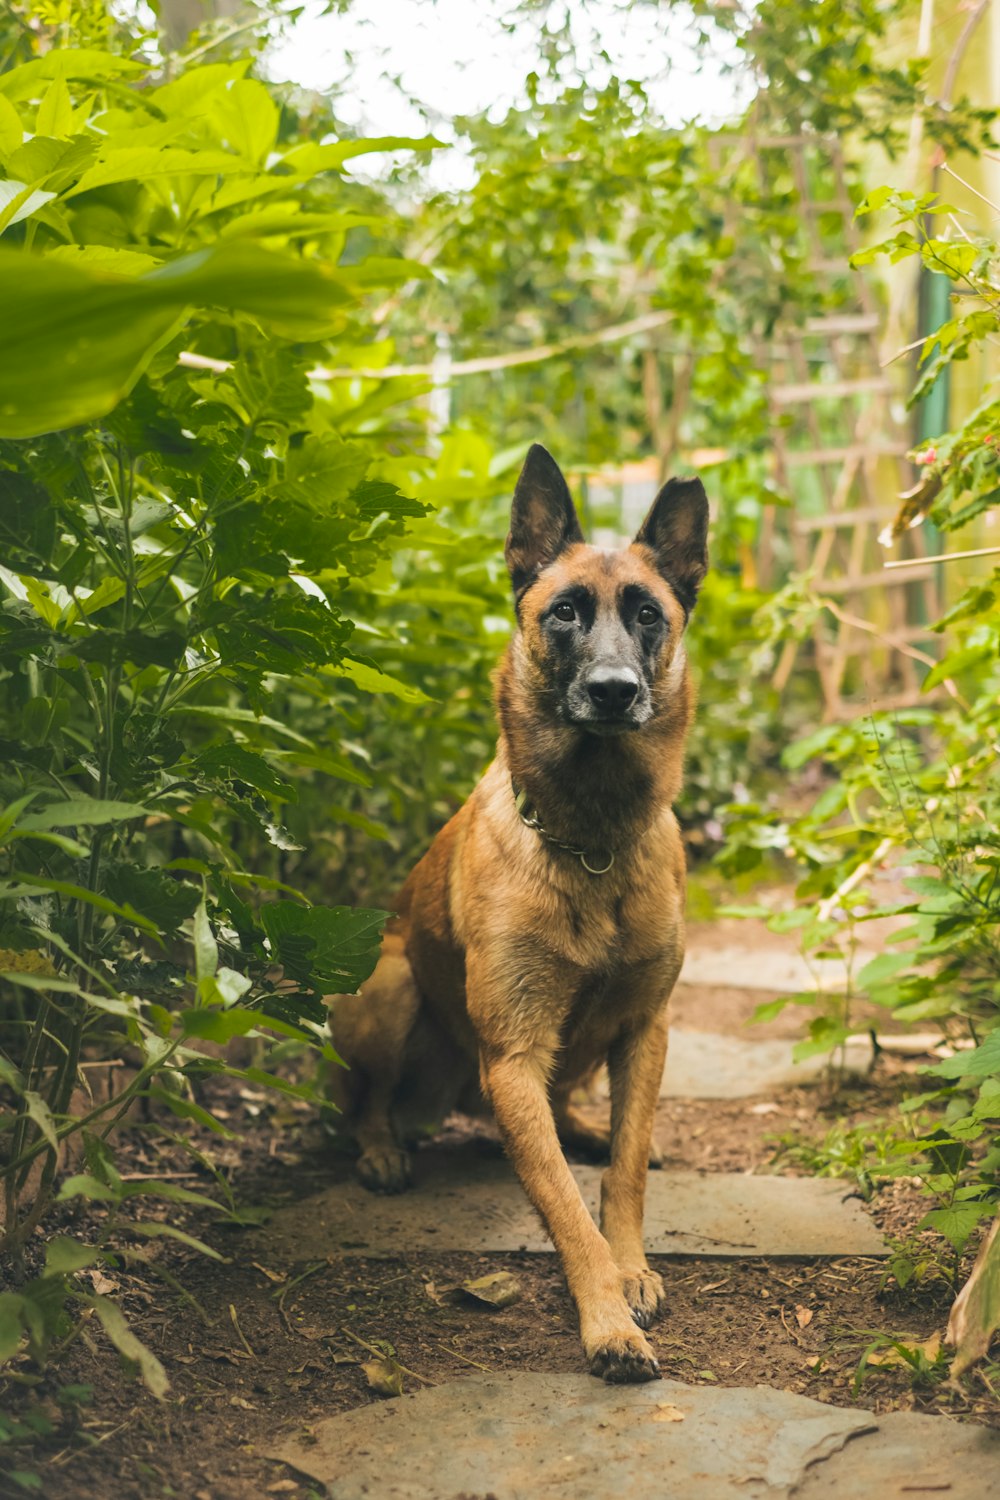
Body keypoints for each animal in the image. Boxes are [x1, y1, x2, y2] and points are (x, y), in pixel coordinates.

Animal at [332, 441, 707, 1380]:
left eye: (648, 615)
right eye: (565, 612)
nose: (613, 691)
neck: (594, 839)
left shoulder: (646, 1029)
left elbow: (621, 1179)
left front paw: (632, 1263)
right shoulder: (513, 1055)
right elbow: (567, 1211)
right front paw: (607, 1317)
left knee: (581, 1117)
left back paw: (587, 1129)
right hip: (388, 987)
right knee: (365, 1100)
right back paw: (383, 1148)